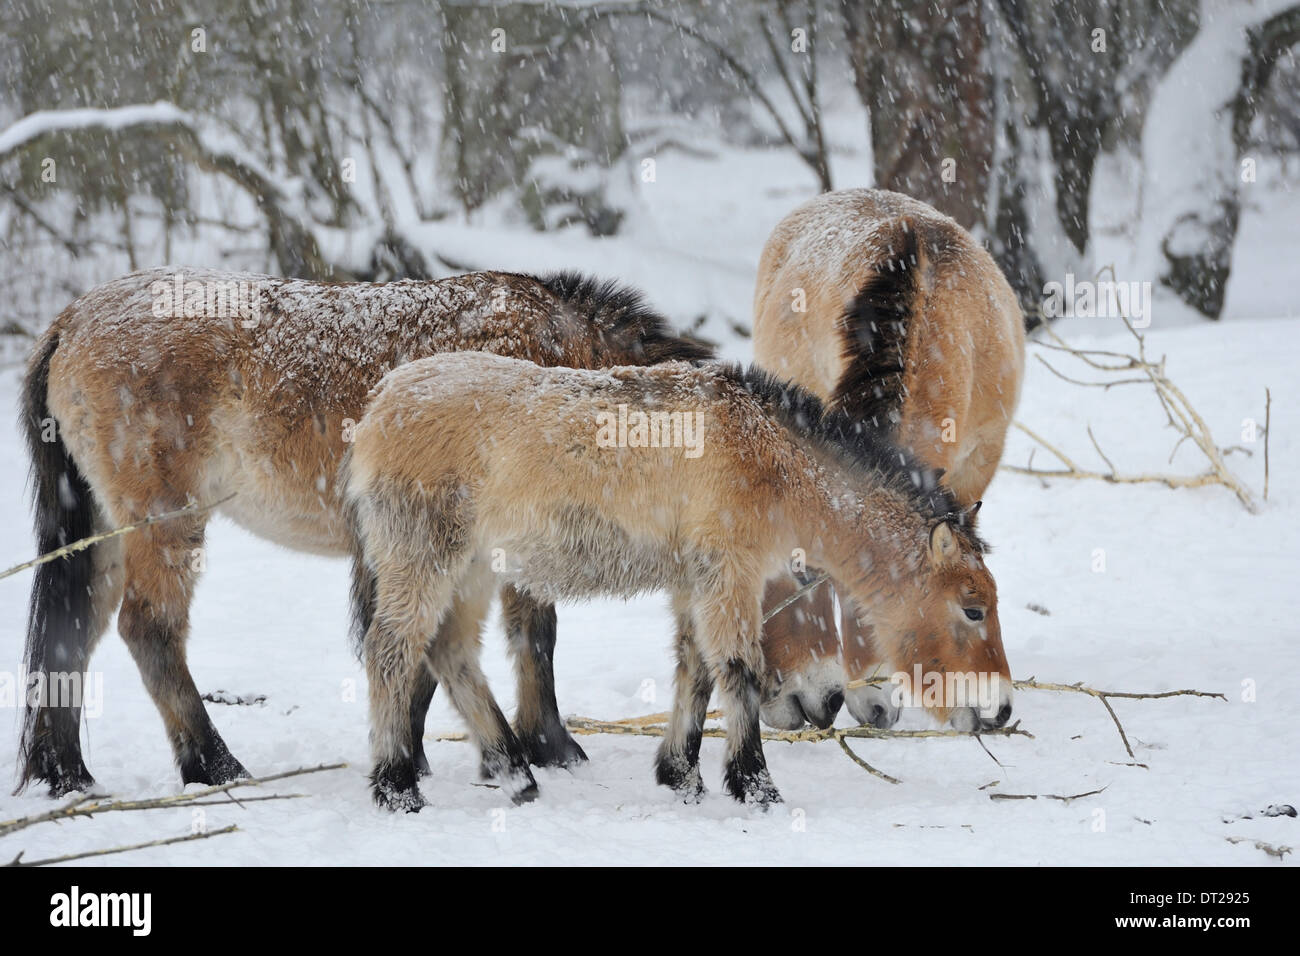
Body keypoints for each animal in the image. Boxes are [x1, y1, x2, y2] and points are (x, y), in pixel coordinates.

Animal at [17, 265, 712, 796]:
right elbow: (522, 638)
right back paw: (215, 767)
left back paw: (68, 776)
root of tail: (71, 320)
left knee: (71, 636)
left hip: (104, 533)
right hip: (166, 523)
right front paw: (543, 747)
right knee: (149, 631)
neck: (560, 372)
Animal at [343, 356, 993, 811]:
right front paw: (755, 785)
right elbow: (738, 670)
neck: (768, 454)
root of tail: (377, 406)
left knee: (450, 653)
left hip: (473, 569)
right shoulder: (729, 573)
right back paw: (397, 788)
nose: (997, 711)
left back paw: (514, 772)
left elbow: (696, 668)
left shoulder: (696, 581)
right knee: (392, 652)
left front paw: (682, 775)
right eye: (974, 609)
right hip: (426, 560)